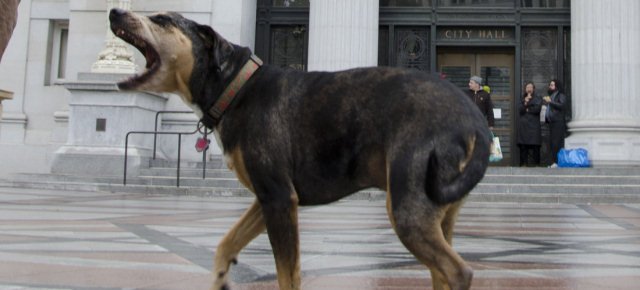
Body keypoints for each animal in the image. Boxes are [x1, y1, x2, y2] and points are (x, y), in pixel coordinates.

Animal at [109, 8, 490, 290]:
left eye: (162, 19)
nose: (115, 11)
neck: (236, 86)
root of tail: (474, 118)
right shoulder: (268, 198)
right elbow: (225, 245)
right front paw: (220, 277)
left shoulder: (279, 199)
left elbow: (287, 275)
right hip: (439, 215)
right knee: (442, 274)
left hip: (407, 210)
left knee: (458, 272)